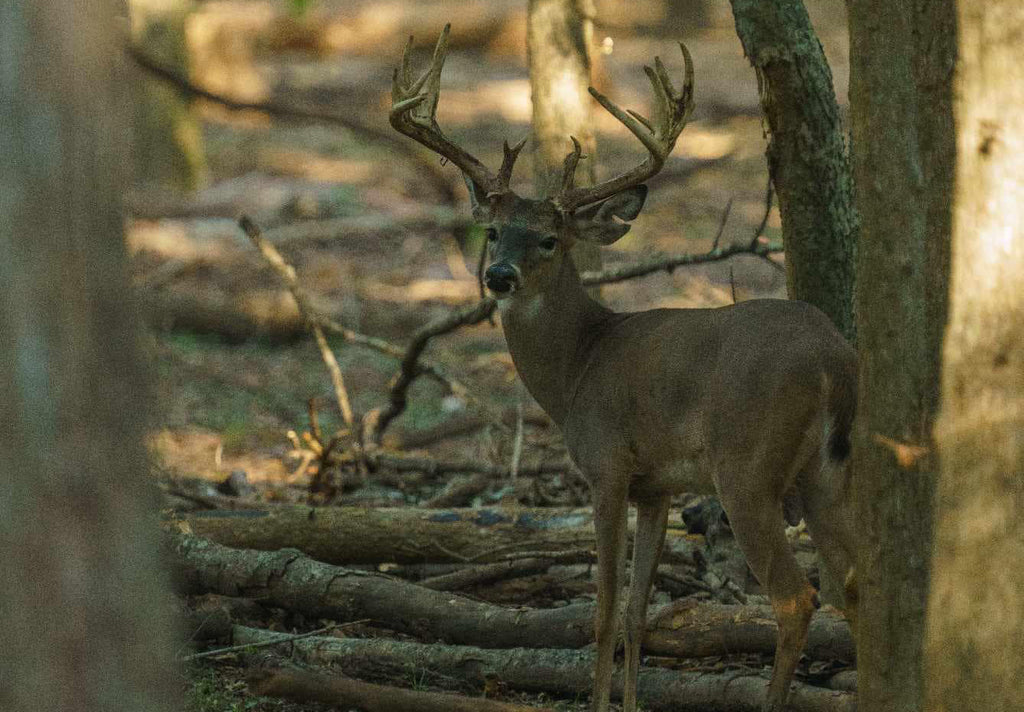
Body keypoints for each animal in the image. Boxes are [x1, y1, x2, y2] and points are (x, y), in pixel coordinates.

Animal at [390, 25, 859, 712]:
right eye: (493, 230)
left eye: (549, 239)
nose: (497, 276)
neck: (579, 365)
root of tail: (833, 356)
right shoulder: (657, 487)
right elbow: (639, 613)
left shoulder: (607, 465)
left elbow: (605, 611)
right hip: (826, 471)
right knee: (856, 585)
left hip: (747, 465)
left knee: (797, 597)